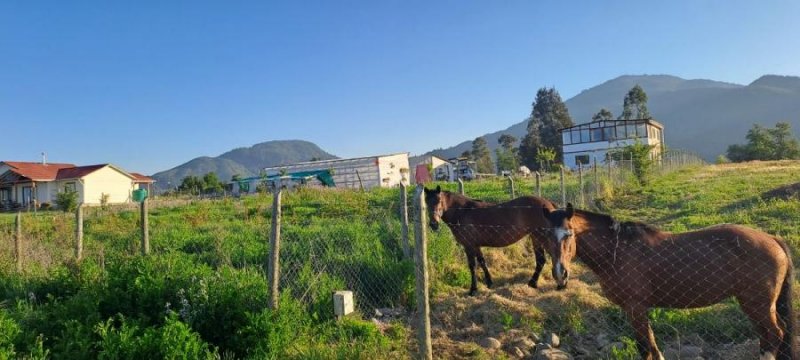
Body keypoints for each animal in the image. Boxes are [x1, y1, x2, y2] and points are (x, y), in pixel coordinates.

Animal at [424, 186, 556, 296]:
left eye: (439, 201)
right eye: (426, 202)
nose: (433, 224)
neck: (462, 211)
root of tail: (548, 203)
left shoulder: (469, 246)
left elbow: (472, 266)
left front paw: (473, 289)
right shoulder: (476, 245)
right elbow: (482, 262)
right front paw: (489, 283)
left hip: (540, 237)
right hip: (536, 238)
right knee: (541, 260)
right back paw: (532, 283)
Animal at [540, 202, 796, 360]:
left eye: (569, 234)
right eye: (546, 234)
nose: (560, 273)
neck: (617, 250)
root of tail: (773, 239)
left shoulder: (636, 308)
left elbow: (646, 347)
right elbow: (652, 345)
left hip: (757, 305)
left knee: (775, 334)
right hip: (756, 306)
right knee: (768, 336)